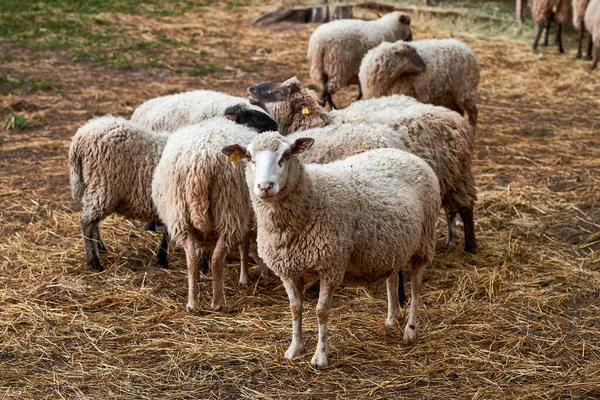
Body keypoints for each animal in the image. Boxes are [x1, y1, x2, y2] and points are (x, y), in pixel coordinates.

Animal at [69, 115, 170, 272]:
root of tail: (80, 137)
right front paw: (162, 258)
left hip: (93, 189)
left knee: (92, 221)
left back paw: (100, 248)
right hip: (103, 187)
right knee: (87, 222)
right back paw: (94, 262)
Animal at [151, 117, 256, 310]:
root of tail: (200, 162)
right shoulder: (246, 214)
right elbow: (244, 246)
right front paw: (244, 278)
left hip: (181, 216)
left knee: (191, 257)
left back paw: (192, 304)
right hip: (229, 210)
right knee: (217, 258)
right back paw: (217, 303)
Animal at [223, 134, 442, 368]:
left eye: (287, 154)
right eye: (248, 156)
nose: (265, 186)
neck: (311, 197)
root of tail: (405, 154)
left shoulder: (330, 266)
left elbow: (321, 312)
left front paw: (320, 357)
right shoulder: (288, 270)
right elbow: (295, 308)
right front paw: (295, 349)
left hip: (424, 241)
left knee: (416, 288)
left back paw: (410, 330)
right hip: (392, 245)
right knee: (392, 277)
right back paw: (392, 319)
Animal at [247, 77, 478, 253]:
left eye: (280, 92)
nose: (251, 88)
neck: (320, 123)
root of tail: (454, 117)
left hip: (457, 175)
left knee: (466, 208)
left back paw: (470, 247)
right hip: (449, 176)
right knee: (452, 208)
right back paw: (451, 240)